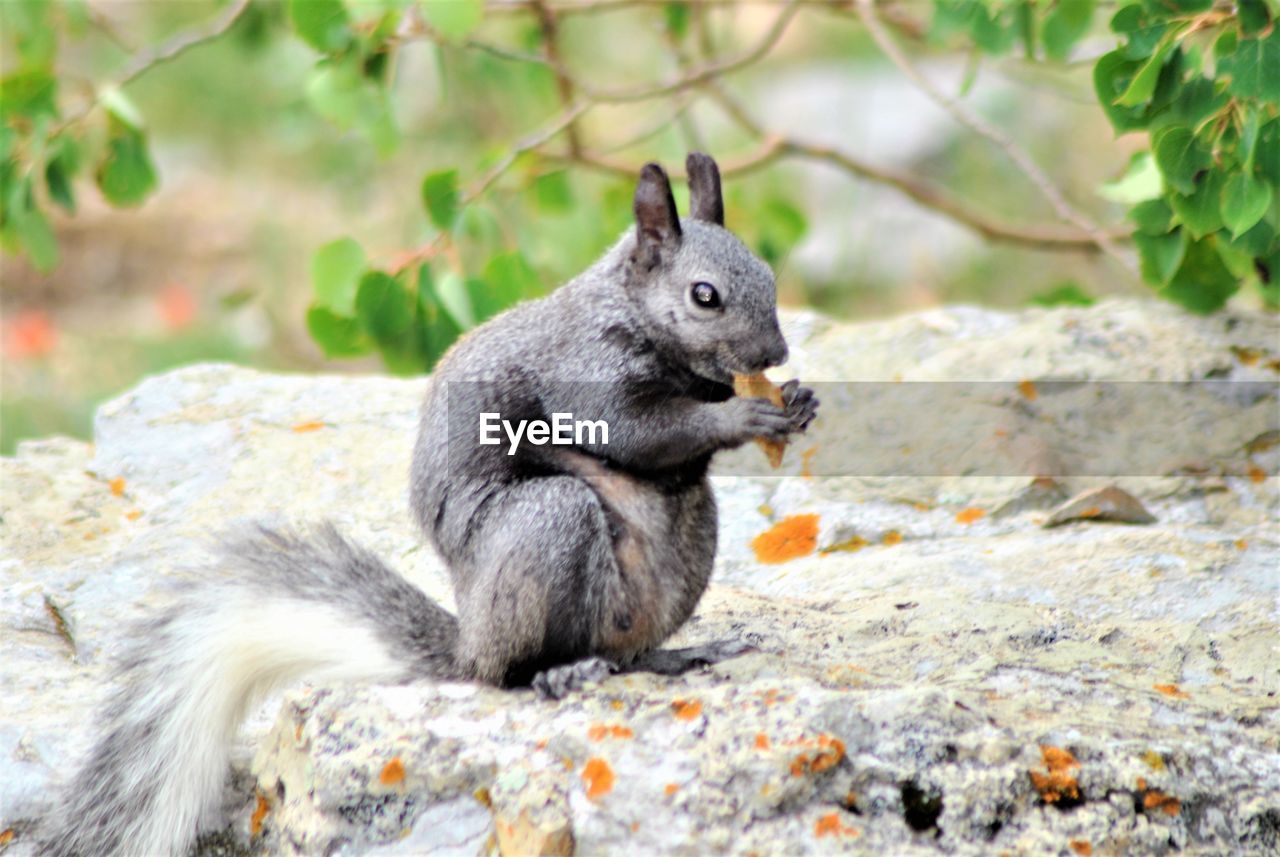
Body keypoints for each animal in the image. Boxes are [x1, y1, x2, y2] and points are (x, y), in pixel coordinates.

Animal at [42, 154, 819, 857]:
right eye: (705, 295)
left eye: (769, 276)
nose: (774, 351)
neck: (634, 318)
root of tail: (467, 638)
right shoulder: (584, 375)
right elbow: (637, 432)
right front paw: (744, 414)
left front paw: (798, 398)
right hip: (547, 524)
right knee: (509, 670)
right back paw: (552, 673)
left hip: (686, 545)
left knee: (627, 650)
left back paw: (675, 655)